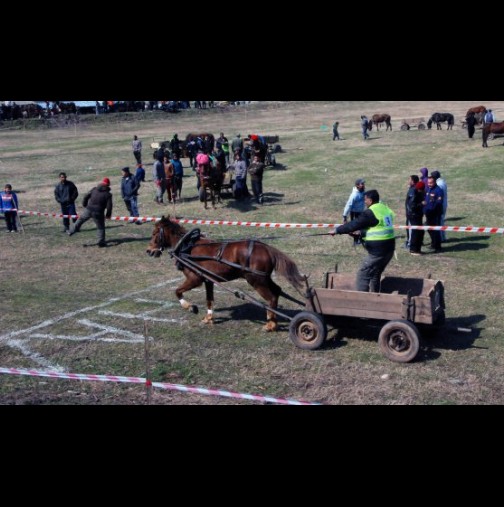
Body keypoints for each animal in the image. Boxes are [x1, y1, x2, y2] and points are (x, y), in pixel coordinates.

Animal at [145, 216, 308, 332]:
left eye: (154, 233)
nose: (149, 251)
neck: (187, 247)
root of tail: (268, 249)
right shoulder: (208, 280)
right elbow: (209, 300)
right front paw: (208, 318)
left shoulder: (194, 279)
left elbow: (177, 291)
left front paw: (191, 307)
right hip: (264, 279)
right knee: (277, 291)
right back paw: (273, 321)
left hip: (256, 281)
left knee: (271, 298)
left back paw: (270, 325)